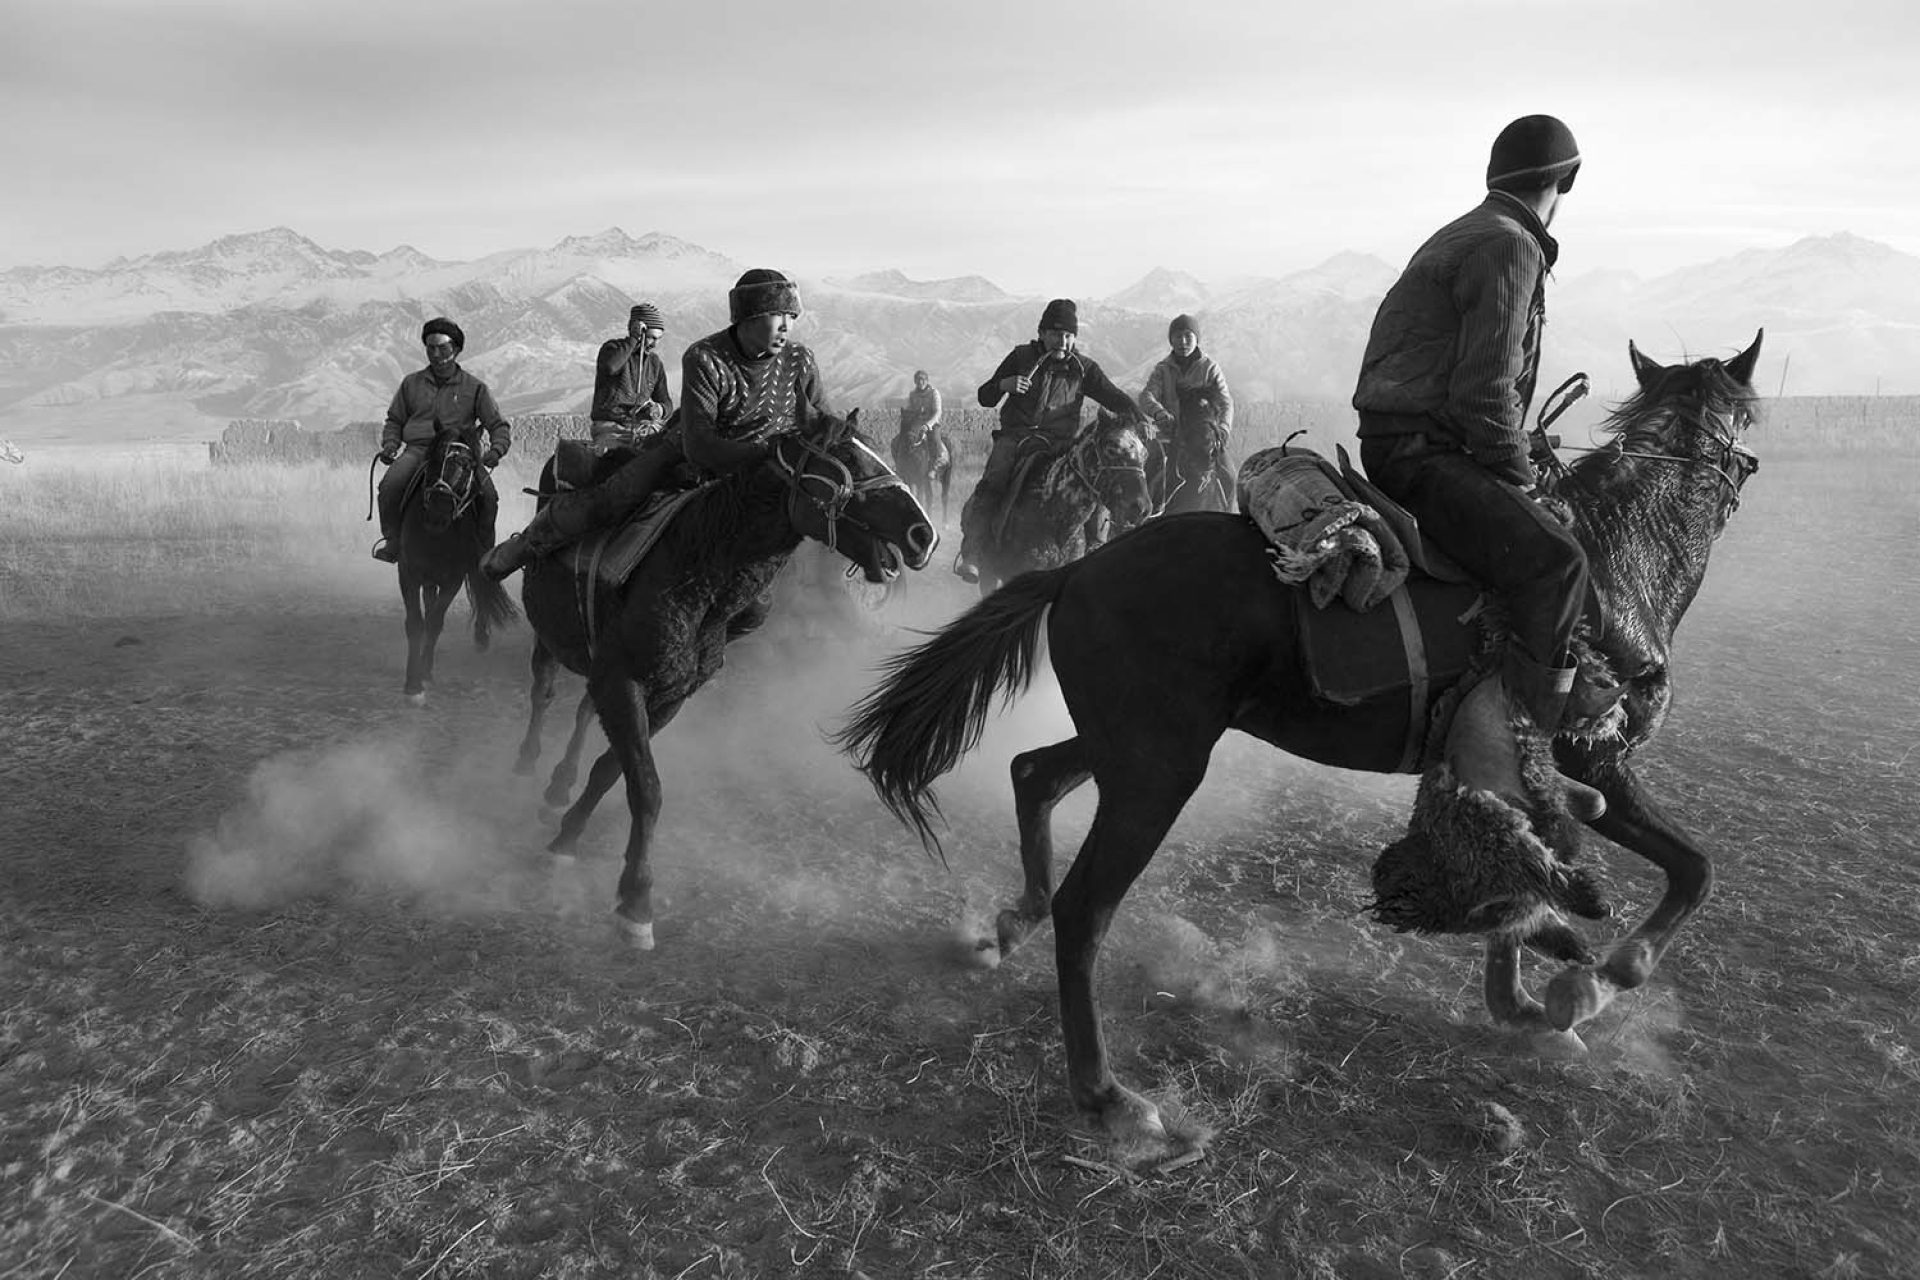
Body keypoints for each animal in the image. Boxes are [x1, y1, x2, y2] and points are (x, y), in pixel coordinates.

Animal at [389, 435, 518, 706]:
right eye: (434, 458)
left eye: (468, 466)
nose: (437, 514)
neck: (437, 537)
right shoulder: (409, 574)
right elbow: (416, 623)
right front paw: (413, 684)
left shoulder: (453, 580)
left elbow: (435, 622)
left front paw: (425, 672)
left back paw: (481, 637)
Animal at [510, 410, 929, 951]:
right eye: (850, 463)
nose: (922, 534)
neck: (694, 566)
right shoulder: (624, 684)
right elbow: (647, 788)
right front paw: (636, 902)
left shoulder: (670, 693)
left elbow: (611, 771)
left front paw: (569, 834)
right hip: (550, 636)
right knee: (543, 690)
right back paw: (527, 762)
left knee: (582, 712)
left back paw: (559, 784)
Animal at [840, 335, 1766, 1159]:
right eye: (1747, 425)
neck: (1618, 565)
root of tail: (1078, 570)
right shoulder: (1592, 761)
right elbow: (1693, 870)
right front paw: (1591, 982)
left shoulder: (1520, 773)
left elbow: (1528, 875)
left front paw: (1524, 999)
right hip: (1157, 773)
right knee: (1086, 908)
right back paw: (1109, 1098)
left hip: (1134, 749)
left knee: (1032, 773)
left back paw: (1009, 925)